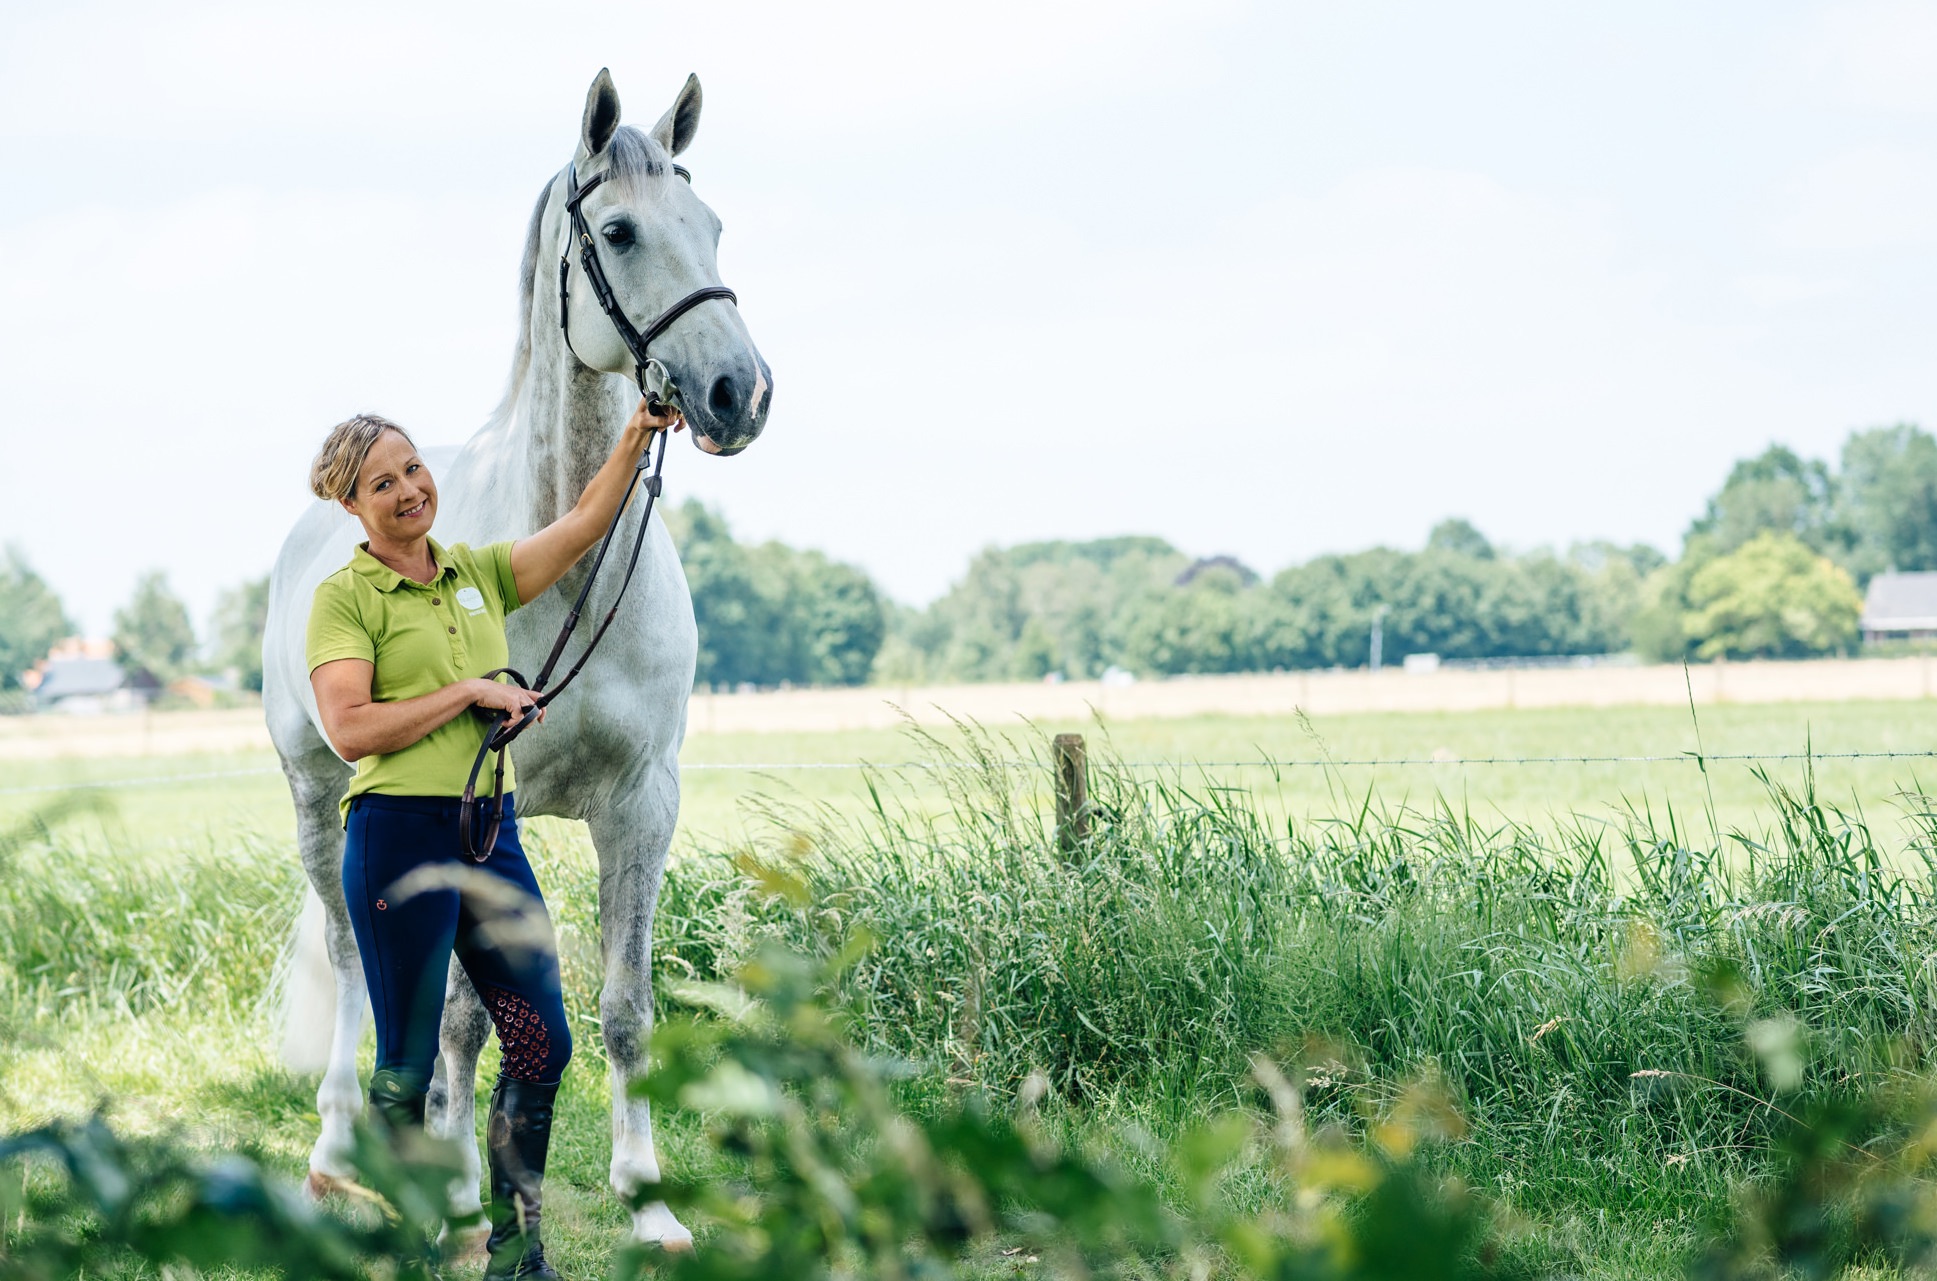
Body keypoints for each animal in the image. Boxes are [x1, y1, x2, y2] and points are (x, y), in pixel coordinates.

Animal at [263, 72, 770, 1248]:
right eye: (619, 231)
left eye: (713, 223)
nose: (738, 392)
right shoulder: (472, 809)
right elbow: (456, 1018)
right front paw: (458, 1188)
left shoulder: (642, 804)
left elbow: (625, 1010)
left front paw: (648, 1202)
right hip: (317, 803)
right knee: (357, 966)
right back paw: (341, 1149)